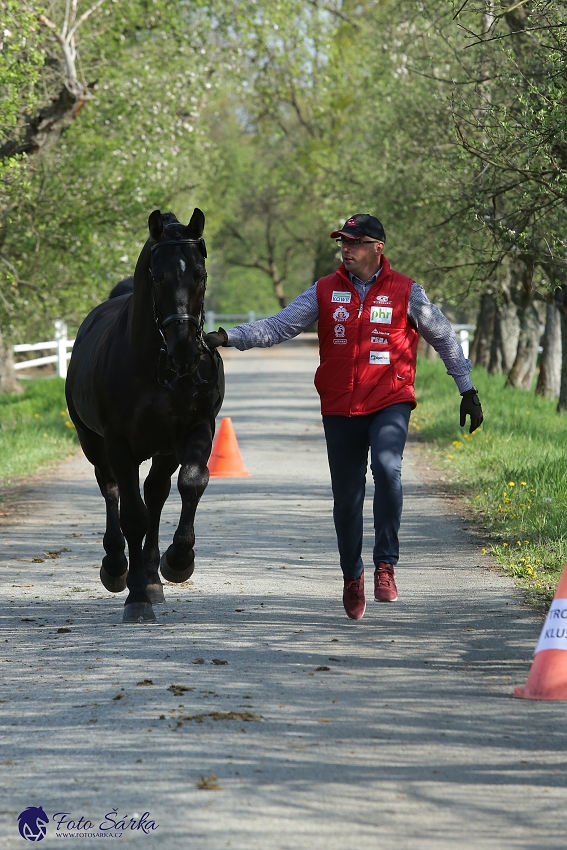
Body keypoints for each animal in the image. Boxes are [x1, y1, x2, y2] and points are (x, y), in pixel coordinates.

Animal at [66, 209, 224, 620]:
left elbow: (192, 483)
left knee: (156, 494)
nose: (185, 351)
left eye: (200, 274)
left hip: (163, 450)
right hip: (94, 444)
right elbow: (131, 514)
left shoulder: (195, 429)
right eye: (158, 277)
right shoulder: (119, 444)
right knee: (112, 492)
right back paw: (117, 568)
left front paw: (178, 561)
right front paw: (135, 597)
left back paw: (153, 577)